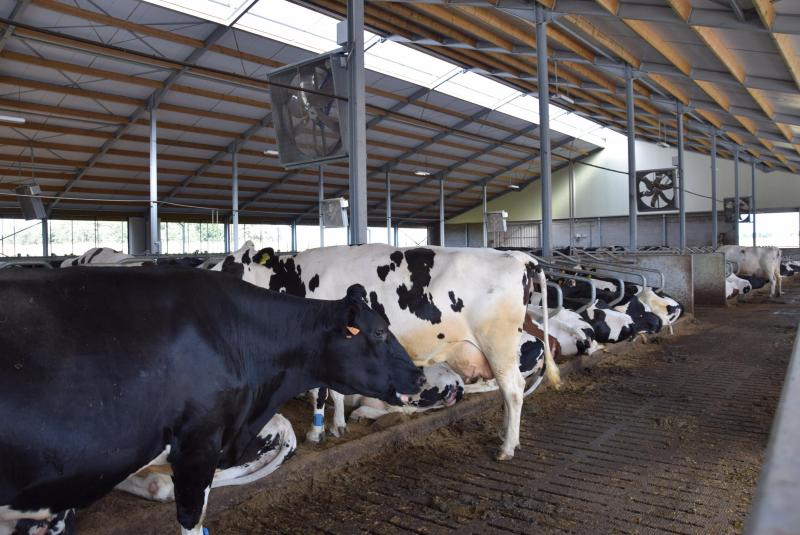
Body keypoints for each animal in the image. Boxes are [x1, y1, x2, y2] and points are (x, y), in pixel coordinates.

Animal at [212, 243, 556, 460]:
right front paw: (338, 426)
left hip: (499, 344)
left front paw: (316, 431)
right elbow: (336, 391)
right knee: (509, 392)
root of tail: (517, 257)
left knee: (513, 390)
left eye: (229, 265)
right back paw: (504, 435)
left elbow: (319, 392)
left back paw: (507, 447)